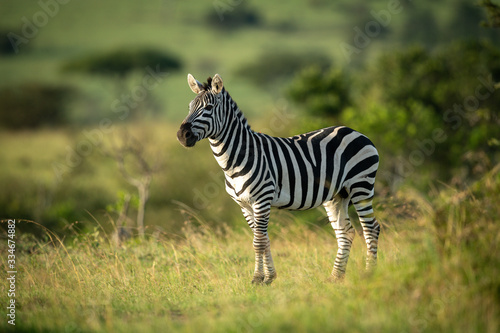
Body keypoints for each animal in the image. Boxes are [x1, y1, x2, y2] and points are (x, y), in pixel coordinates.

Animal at [178, 73, 380, 282]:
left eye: (209, 108)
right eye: (189, 107)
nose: (182, 135)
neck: (235, 161)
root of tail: (355, 132)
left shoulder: (262, 199)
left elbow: (258, 242)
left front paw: (258, 279)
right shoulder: (244, 205)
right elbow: (263, 240)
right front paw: (269, 277)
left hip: (361, 186)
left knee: (371, 228)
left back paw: (369, 274)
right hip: (337, 195)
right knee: (345, 232)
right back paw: (335, 277)